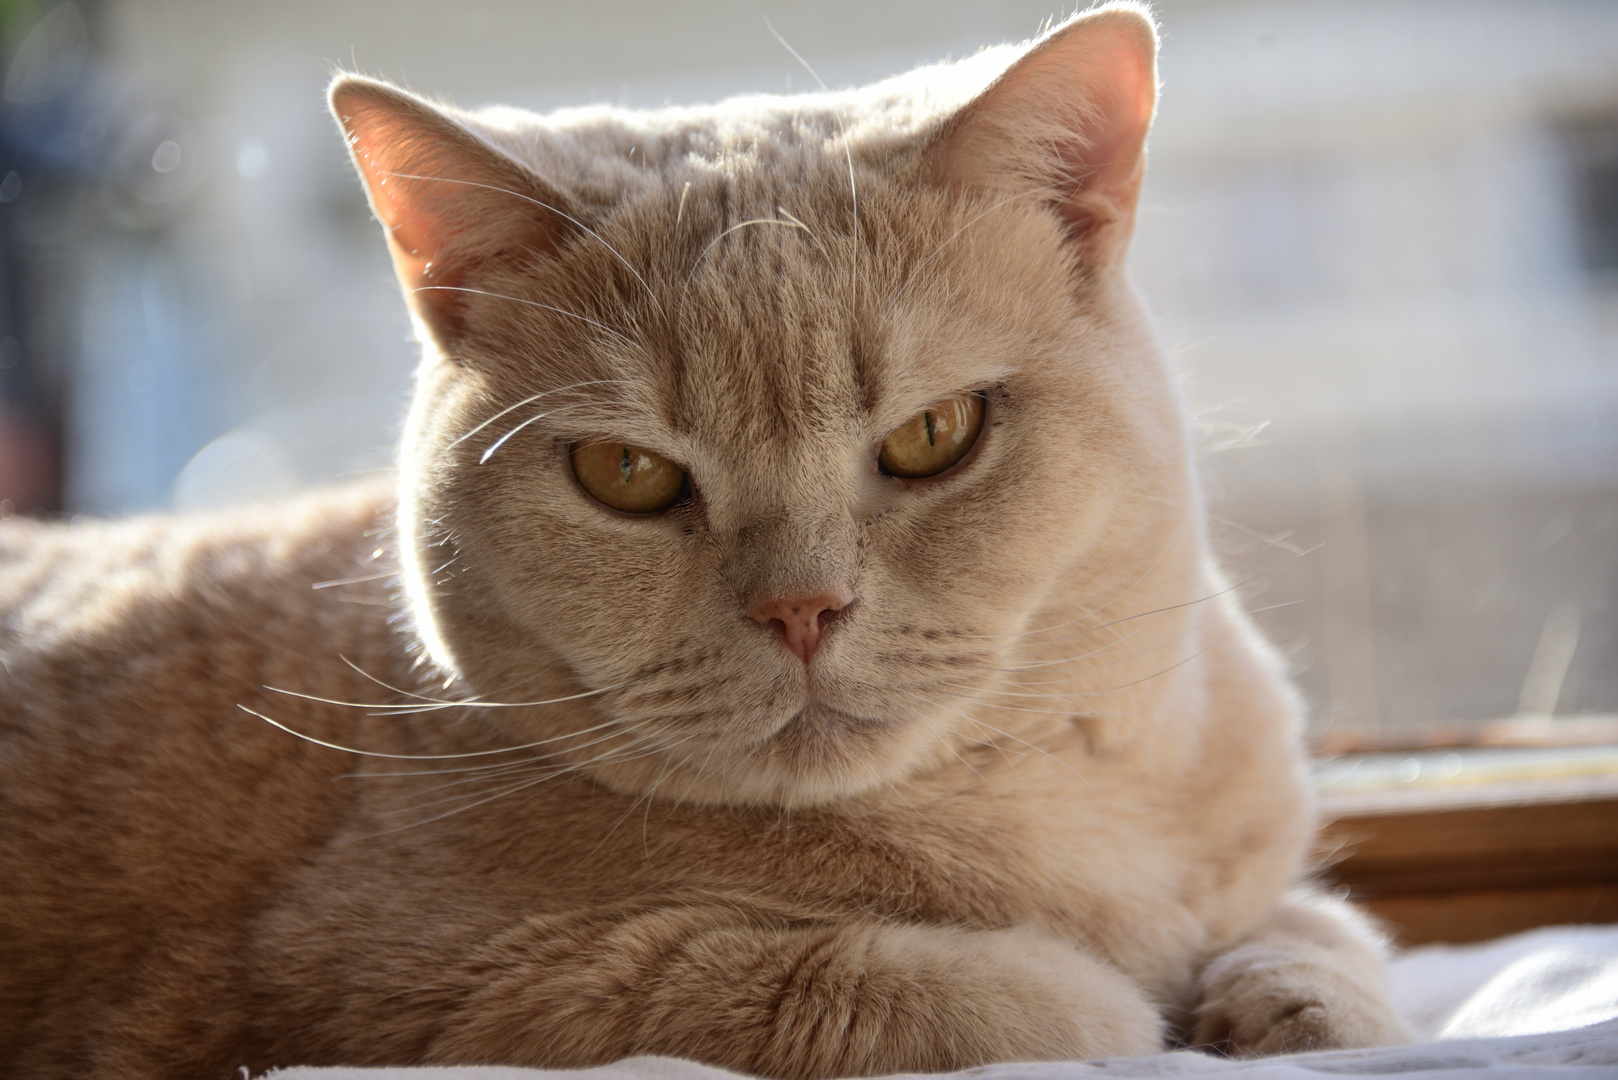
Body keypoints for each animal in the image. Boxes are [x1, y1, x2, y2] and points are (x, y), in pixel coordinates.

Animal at [0, 4, 1404, 1075]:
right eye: (625, 474)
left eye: (931, 435)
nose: (802, 609)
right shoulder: (393, 987)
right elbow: (891, 987)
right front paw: (1111, 1001)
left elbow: (1324, 933)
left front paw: (1285, 995)